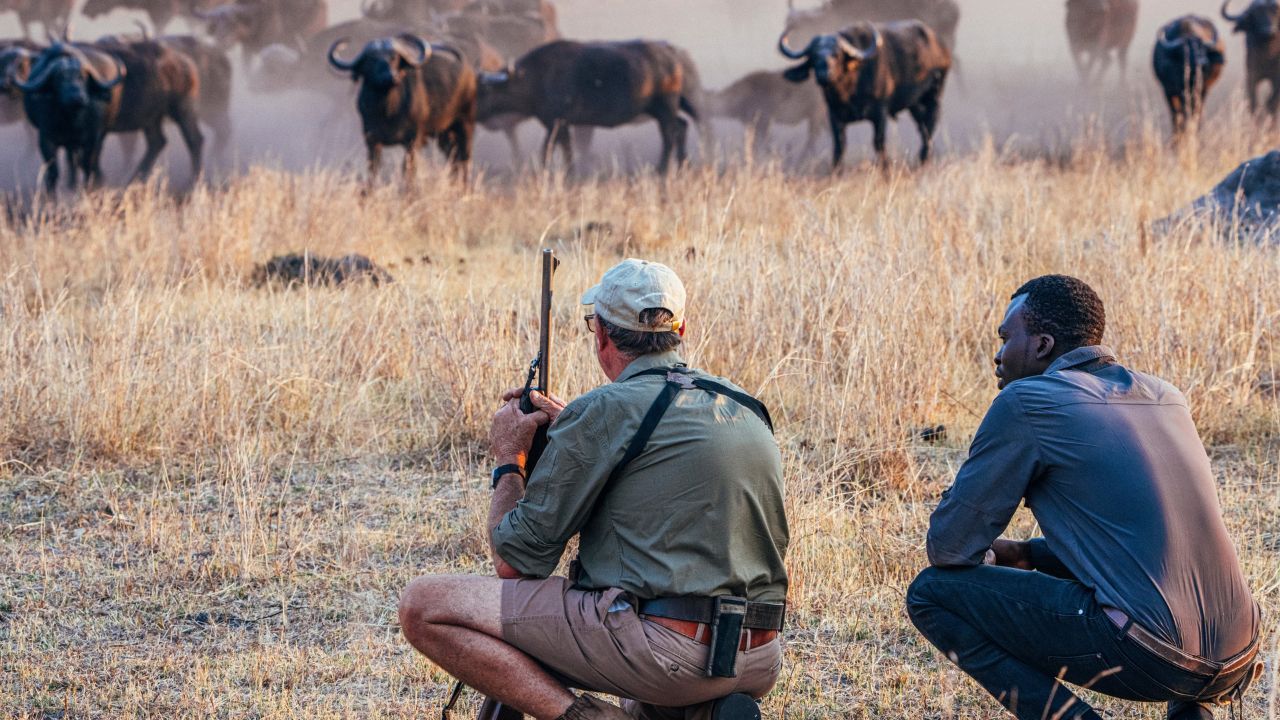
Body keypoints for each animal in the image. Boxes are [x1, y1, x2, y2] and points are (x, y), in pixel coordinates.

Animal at [16, 42, 127, 192]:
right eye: (59, 78)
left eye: (83, 77)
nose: (77, 97)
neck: (71, 121)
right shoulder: (45, 140)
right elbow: (53, 171)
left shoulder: (92, 138)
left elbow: (87, 165)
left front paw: (90, 188)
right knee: (71, 159)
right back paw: (72, 184)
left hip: (102, 134)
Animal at [328, 35, 477, 183]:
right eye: (371, 59)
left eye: (394, 57)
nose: (391, 77)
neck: (387, 111)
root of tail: (469, 72)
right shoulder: (371, 139)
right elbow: (373, 169)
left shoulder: (412, 140)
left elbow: (408, 169)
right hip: (444, 133)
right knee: (453, 157)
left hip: (465, 123)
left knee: (465, 158)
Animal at [477, 40, 702, 174]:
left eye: (484, 89)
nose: (473, 111)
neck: (537, 77)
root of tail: (672, 53)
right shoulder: (558, 125)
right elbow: (561, 150)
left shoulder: (558, 122)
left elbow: (550, 150)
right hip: (659, 110)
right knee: (681, 127)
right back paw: (683, 164)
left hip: (665, 106)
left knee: (670, 133)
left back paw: (662, 169)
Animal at [779, 21, 951, 168]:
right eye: (813, 56)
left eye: (837, 54)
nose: (824, 74)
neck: (849, 92)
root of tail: (941, 47)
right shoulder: (834, 115)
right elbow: (839, 146)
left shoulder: (880, 113)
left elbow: (879, 143)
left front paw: (886, 170)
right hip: (915, 105)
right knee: (922, 128)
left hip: (934, 97)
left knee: (929, 128)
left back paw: (923, 160)